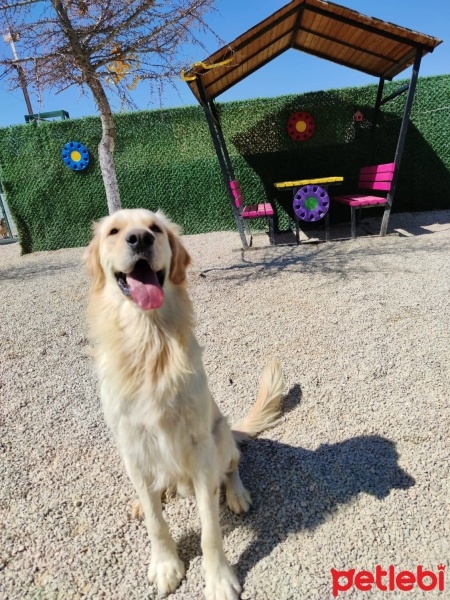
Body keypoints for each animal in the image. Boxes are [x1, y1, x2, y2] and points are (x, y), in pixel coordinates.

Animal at [84, 209, 284, 596]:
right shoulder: (132, 445)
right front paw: (165, 564)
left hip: (221, 436)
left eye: (155, 228)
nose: (140, 239)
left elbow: (210, 530)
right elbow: (155, 522)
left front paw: (219, 579)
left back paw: (237, 494)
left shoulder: (200, 447)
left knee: (233, 465)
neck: (149, 340)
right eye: (114, 231)